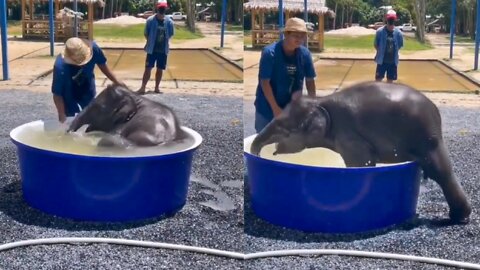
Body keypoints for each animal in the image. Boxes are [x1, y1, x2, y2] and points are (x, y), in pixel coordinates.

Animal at [251, 80, 472, 224]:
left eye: (284, 130)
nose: (259, 154)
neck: (320, 101)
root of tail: (436, 113)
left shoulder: (349, 135)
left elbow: (360, 163)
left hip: (426, 139)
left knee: (440, 172)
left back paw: (458, 218)